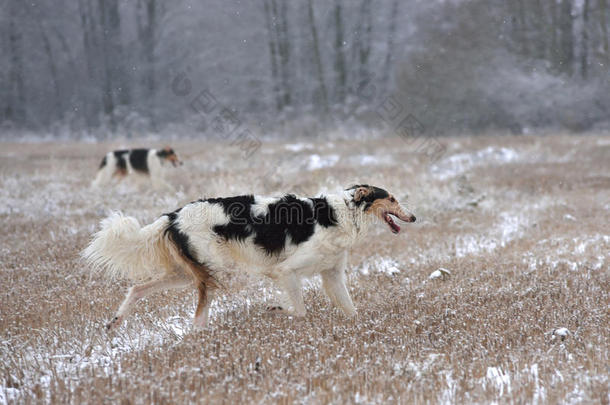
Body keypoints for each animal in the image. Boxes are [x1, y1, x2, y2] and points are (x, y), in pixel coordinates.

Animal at [82, 185, 414, 330]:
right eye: (391, 198)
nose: (413, 217)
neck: (341, 213)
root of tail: (173, 216)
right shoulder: (285, 271)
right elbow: (299, 311)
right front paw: (275, 309)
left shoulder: (332, 275)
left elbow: (351, 310)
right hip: (215, 271)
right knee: (197, 314)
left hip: (185, 273)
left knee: (137, 288)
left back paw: (116, 321)